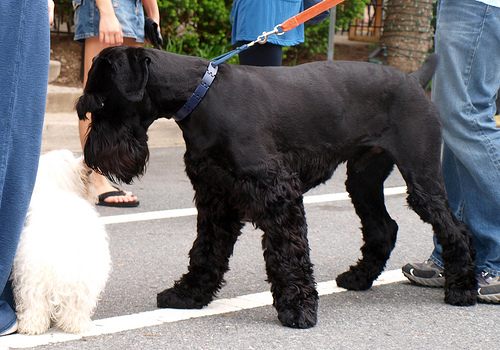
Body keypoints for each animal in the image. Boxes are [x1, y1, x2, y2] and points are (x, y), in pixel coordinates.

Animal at [11, 149, 111, 334]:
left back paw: (32, 326)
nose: (89, 169)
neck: (50, 190)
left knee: (35, 305)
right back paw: (75, 325)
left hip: (34, 277)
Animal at [77, 45, 476, 328]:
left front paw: (298, 308)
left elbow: (287, 254)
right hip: (363, 179)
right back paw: (359, 277)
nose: (92, 155)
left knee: (455, 228)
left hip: (421, 178)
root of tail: (413, 80)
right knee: (384, 227)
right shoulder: (215, 197)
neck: (201, 96)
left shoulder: (276, 193)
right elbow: (206, 250)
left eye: (101, 100)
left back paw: (463, 289)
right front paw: (189, 293)